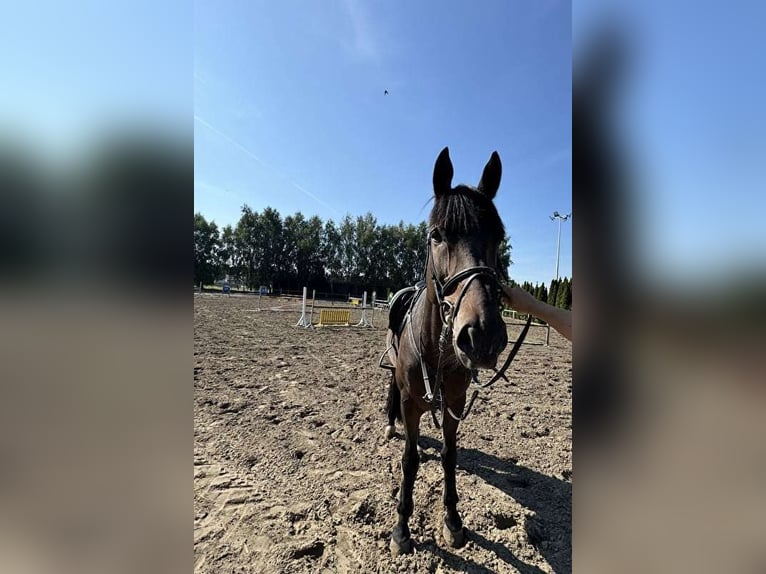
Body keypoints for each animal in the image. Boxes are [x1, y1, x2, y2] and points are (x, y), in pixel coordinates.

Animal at [382, 146, 532, 556]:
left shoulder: (454, 402)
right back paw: (389, 426)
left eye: (498, 236)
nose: (482, 335)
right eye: (436, 235)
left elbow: (450, 457)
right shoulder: (411, 402)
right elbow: (410, 460)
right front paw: (402, 528)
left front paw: (452, 520)